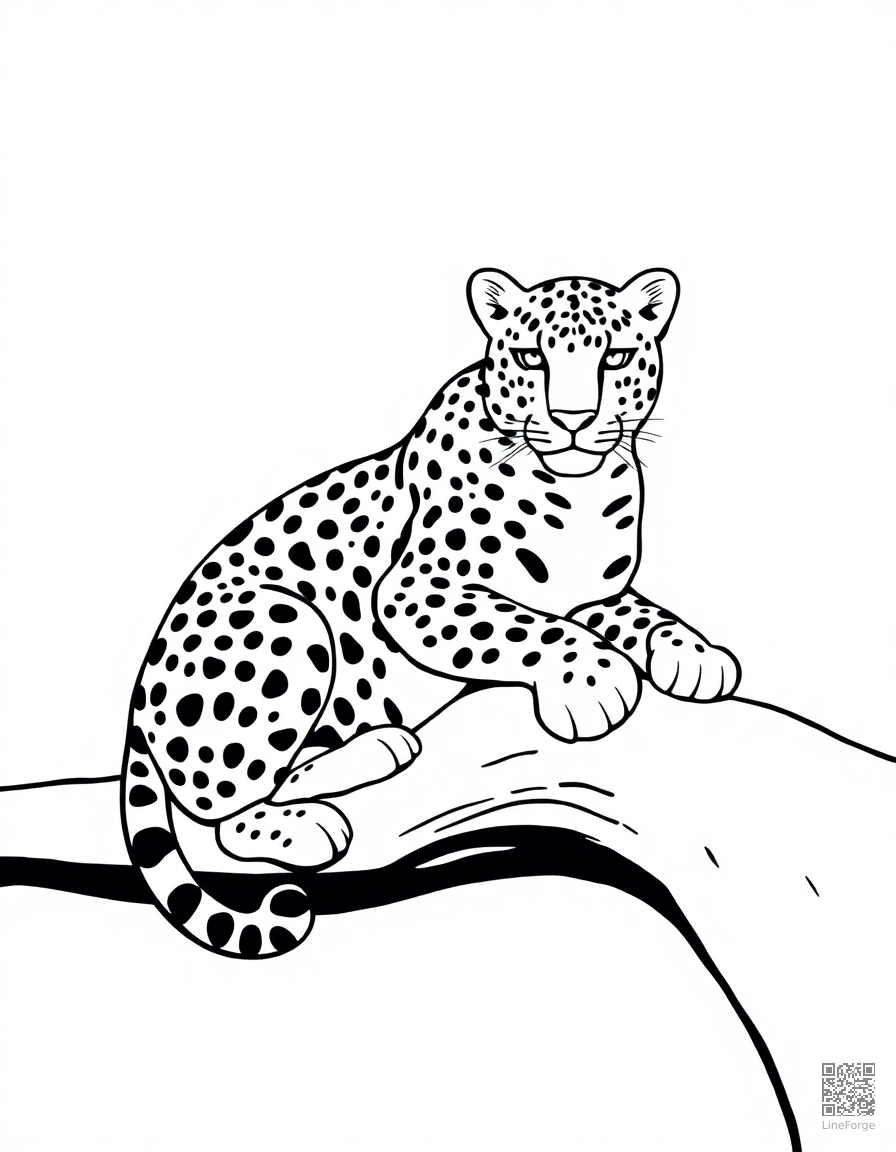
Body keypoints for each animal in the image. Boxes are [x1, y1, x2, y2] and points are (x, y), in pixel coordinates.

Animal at [123, 266, 741, 958]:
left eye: (616, 357)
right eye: (532, 358)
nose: (575, 420)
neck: (582, 490)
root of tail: (140, 697)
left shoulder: (595, 595)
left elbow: (637, 613)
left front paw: (693, 655)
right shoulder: (417, 590)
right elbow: (524, 626)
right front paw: (591, 681)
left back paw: (383, 747)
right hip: (288, 622)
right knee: (220, 807)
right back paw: (311, 824)